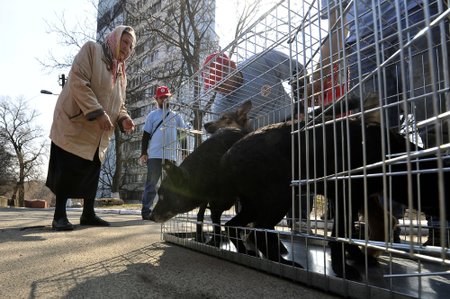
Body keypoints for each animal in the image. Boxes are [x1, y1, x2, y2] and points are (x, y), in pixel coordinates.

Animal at [149, 101, 251, 246]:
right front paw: (213, 241)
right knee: (200, 216)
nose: (150, 217)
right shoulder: (212, 204)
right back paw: (200, 237)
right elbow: (213, 222)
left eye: (163, 197)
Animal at [222, 119, 450, 282]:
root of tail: (228, 154)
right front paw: (343, 269)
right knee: (258, 231)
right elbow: (340, 234)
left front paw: (358, 257)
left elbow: (348, 233)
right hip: (279, 198)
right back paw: (282, 263)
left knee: (233, 225)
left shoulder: (356, 199)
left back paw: (245, 252)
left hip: (255, 204)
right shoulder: (346, 197)